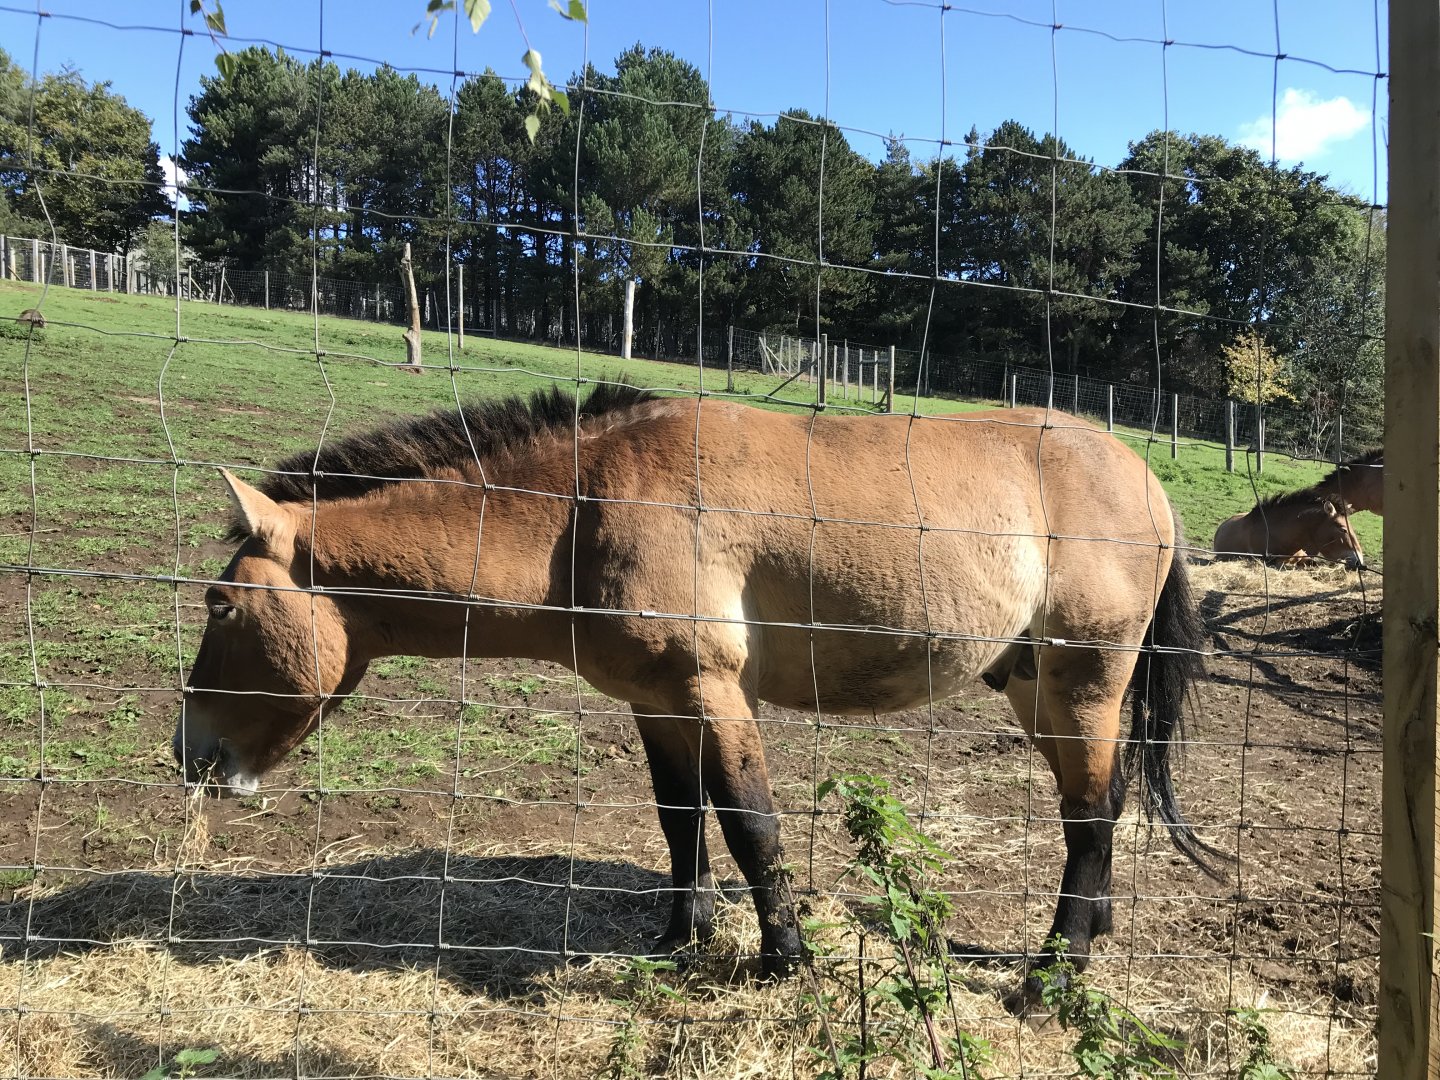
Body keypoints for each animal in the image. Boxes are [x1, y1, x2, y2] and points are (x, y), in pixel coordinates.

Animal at [173, 382, 1219, 1003]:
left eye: (221, 604)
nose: (189, 753)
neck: (581, 511)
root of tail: (1149, 482)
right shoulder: (658, 703)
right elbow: (682, 821)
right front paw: (679, 936)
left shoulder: (714, 693)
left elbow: (751, 824)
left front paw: (783, 959)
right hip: (1033, 689)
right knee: (1102, 800)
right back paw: (1094, 929)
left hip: (1082, 684)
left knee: (1090, 814)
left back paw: (1056, 973)